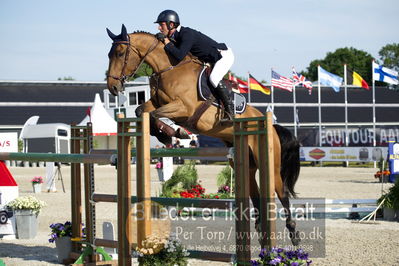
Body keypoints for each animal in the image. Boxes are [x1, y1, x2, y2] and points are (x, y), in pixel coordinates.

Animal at [107, 25, 304, 245]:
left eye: (120, 53)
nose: (112, 87)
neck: (168, 68)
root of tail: (270, 124)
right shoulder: (156, 103)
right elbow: (142, 111)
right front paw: (167, 134)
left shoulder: (183, 107)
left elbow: (157, 115)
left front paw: (175, 132)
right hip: (247, 164)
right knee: (256, 194)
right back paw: (261, 231)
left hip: (270, 163)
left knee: (281, 192)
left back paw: (293, 234)